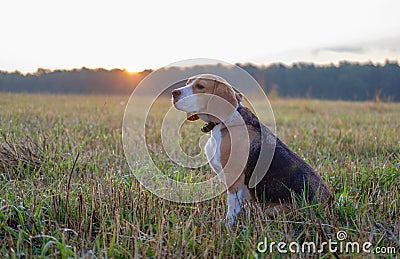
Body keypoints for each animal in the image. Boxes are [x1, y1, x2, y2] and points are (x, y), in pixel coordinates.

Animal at [172, 74, 332, 226]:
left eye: (200, 86)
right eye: (187, 83)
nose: (174, 93)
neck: (225, 121)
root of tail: (329, 204)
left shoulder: (234, 176)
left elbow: (232, 207)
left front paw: (228, 225)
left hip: (274, 209)